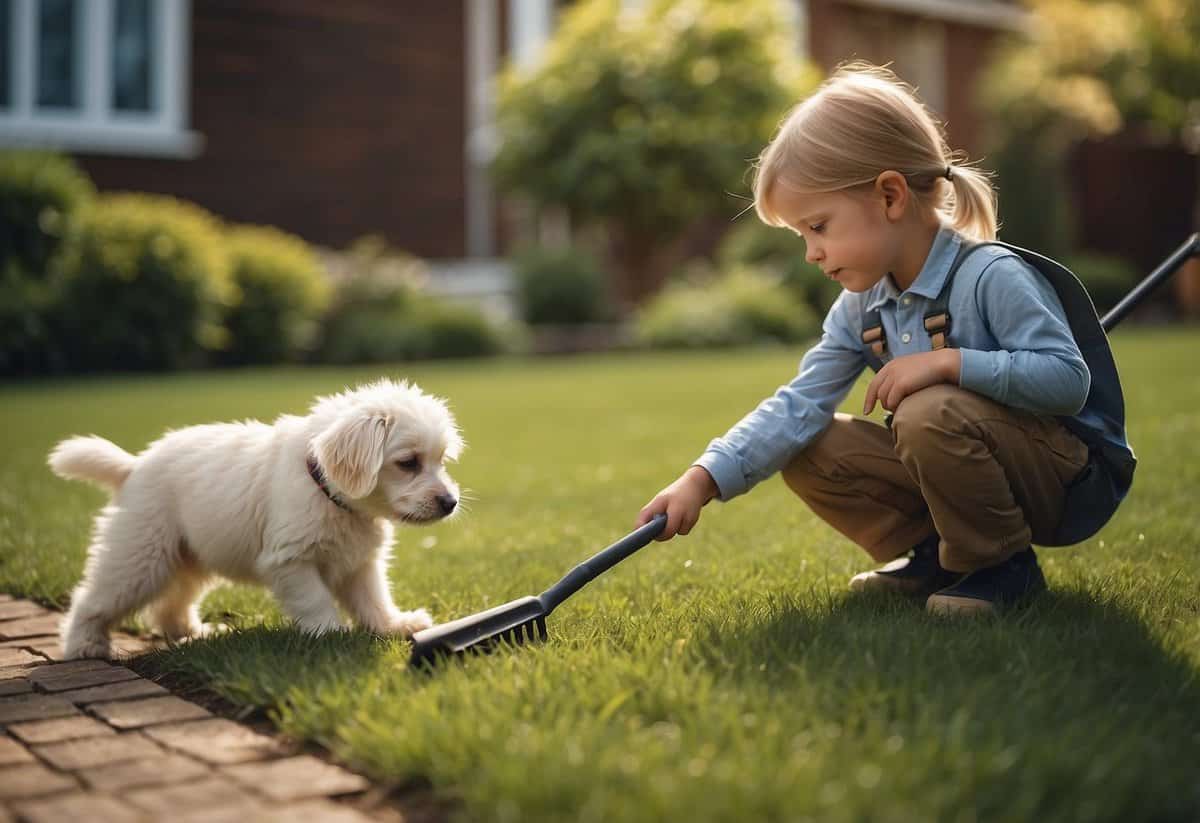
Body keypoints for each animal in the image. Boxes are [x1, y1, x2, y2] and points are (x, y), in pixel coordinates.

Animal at [48, 376, 458, 662]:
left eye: (441, 460)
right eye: (408, 463)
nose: (451, 502)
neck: (324, 486)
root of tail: (133, 467)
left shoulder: (359, 564)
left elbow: (374, 599)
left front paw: (395, 625)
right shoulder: (291, 562)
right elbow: (316, 600)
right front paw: (330, 635)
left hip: (187, 560)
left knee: (169, 606)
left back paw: (194, 632)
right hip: (139, 559)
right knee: (91, 599)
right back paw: (84, 645)